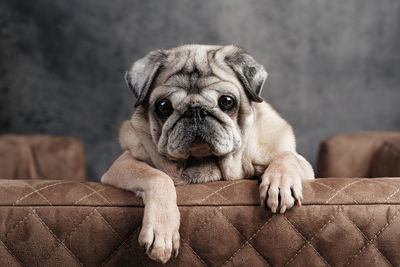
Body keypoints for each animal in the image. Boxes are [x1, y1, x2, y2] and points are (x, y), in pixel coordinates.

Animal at [101, 44, 314, 264]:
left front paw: (279, 185)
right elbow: (157, 177)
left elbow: (286, 156)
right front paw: (162, 230)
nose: (195, 111)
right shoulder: (123, 163)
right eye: (164, 106)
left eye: (227, 102)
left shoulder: (302, 164)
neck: (203, 161)